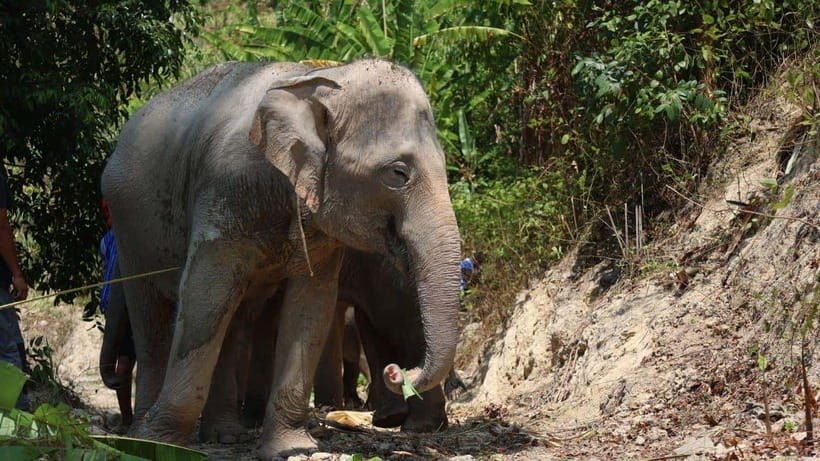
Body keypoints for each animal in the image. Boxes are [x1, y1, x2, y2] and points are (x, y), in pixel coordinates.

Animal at [101, 59, 462, 458]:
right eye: (398, 173)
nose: (398, 372)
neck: (314, 80)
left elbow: (311, 305)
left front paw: (291, 448)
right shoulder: (225, 190)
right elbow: (204, 295)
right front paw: (161, 441)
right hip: (130, 227)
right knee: (153, 317)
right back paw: (147, 436)